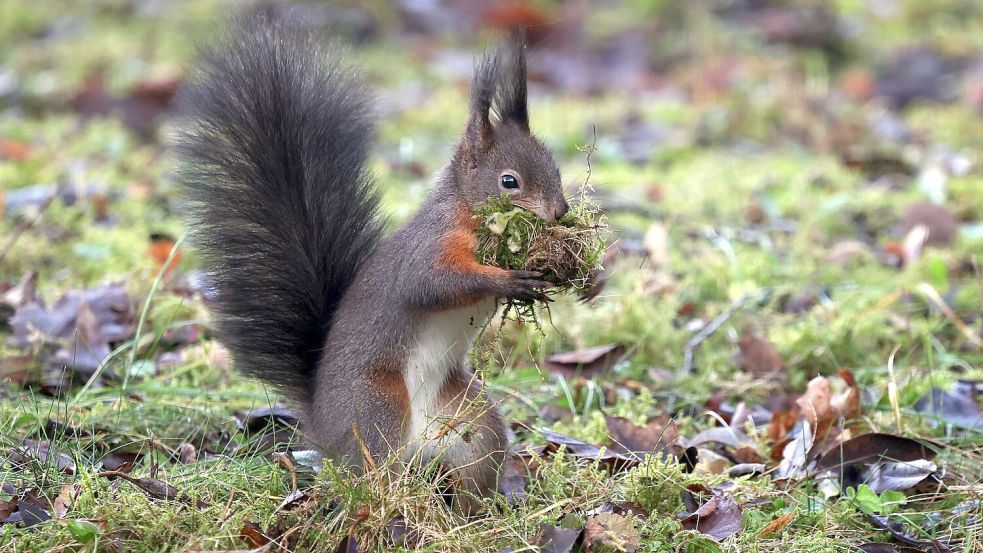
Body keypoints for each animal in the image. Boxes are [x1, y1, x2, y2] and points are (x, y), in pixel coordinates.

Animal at [173, 14, 564, 512]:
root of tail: (322, 425)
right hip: (377, 406)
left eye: (554, 166)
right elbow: (432, 283)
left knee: (473, 466)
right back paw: (389, 504)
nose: (561, 212)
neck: (464, 211)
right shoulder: (428, 248)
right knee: (374, 471)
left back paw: (477, 512)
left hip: (471, 421)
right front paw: (509, 280)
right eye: (509, 182)